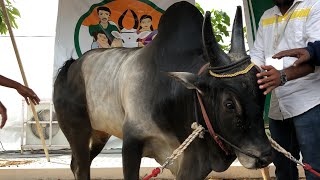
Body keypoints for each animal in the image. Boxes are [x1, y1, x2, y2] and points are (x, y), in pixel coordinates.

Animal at [53, 1, 272, 180]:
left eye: (262, 95)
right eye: (229, 104)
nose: (265, 156)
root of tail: (70, 67)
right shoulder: (131, 143)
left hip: (100, 134)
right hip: (77, 130)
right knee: (80, 167)